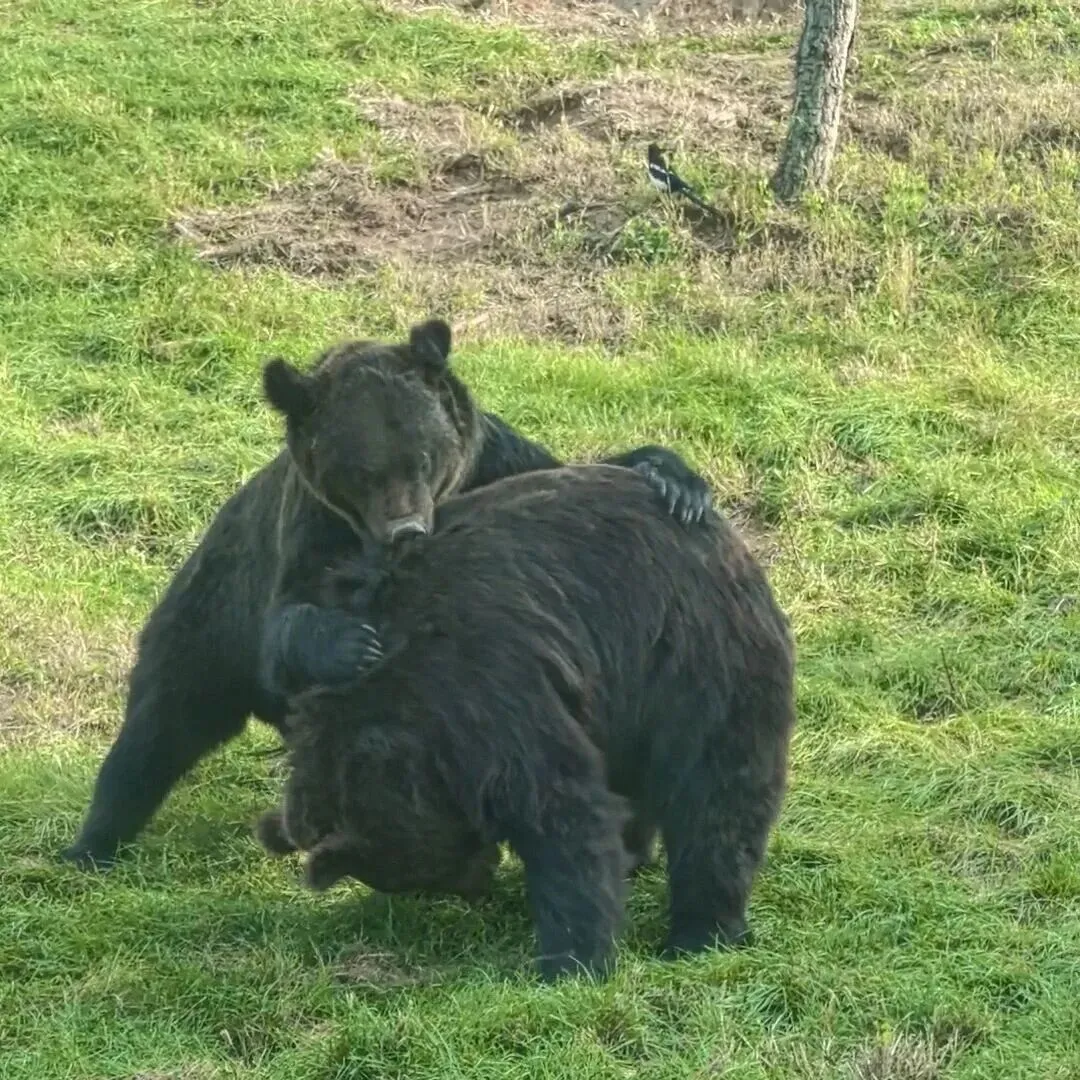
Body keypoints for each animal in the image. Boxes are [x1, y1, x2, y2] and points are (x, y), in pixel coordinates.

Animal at [61, 317, 714, 869]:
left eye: (423, 457)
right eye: (361, 471)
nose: (405, 529)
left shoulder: (498, 465)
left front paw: (673, 481)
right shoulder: (310, 535)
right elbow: (291, 622)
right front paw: (354, 644)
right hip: (209, 616)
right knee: (159, 725)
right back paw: (92, 843)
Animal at [255, 462, 797, 983]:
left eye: (419, 865)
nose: (479, 880)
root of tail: (729, 539)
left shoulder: (490, 684)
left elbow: (559, 808)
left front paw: (570, 960)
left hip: (696, 658)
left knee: (718, 795)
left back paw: (701, 930)